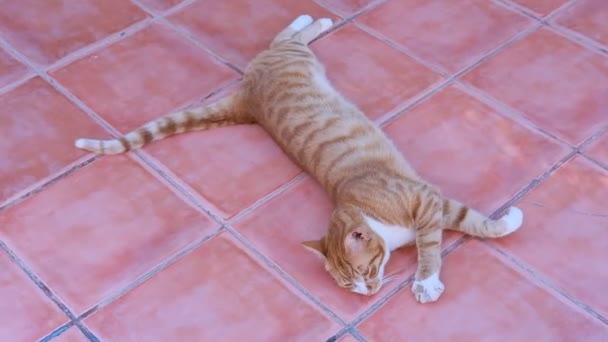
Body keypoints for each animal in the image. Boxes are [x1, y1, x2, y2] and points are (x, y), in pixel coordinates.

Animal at [75, 14, 524, 304]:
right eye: (349, 284)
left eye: (363, 273)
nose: (367, 294)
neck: (377, 220)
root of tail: (249, 100)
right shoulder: (433, 203)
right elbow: (469, 222)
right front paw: (505, 223)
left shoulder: (426, 200)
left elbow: (445, 239)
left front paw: (427, 280)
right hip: (291, 58)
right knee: (285, 37)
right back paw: (314, 19)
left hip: (294, 56)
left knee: (286, 36)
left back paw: (315, 18)